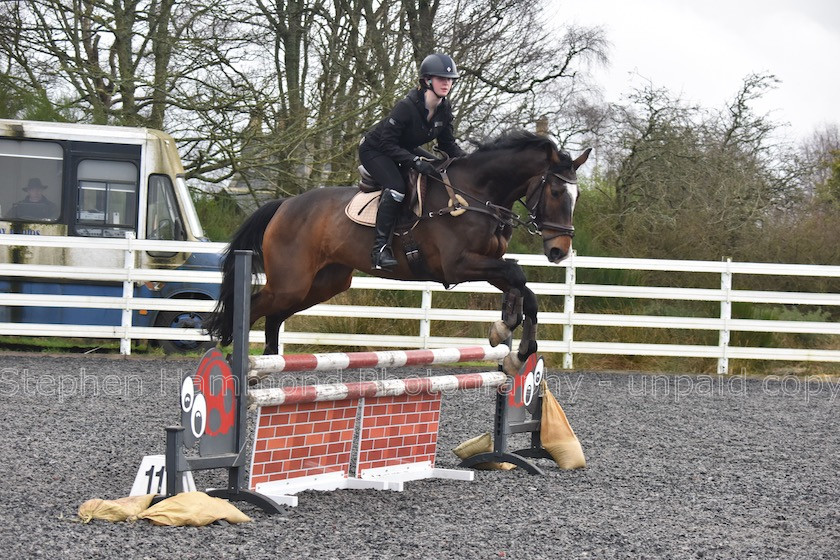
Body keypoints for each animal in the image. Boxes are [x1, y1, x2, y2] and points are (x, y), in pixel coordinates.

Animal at [208, 128, 592, 372]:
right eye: (556, 192)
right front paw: (506, 330)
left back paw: (267, 363)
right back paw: (232, 360)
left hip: (322, 284)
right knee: (253, 307)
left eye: (576, 196)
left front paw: (515, 346)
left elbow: (524, 289)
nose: (559, 250)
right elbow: (516, 274)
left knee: (274, 316)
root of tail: (284, 204)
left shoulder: (487, 263)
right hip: (291, 282)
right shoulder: (457, 266)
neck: (475, 194)